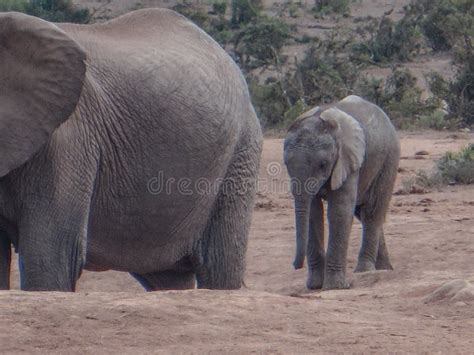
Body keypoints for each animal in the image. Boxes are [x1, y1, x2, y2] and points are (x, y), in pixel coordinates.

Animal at [286, 96, 400, 290]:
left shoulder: (347, 159)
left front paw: (335, 287)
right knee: (363, 213)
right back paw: (384, 268)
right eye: (286, 165)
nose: (295, 265)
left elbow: (339, 211)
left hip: (389, 158)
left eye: (323, 164)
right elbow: (313, 213)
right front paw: (315, 286)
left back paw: (365, 271)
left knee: (372, 212)